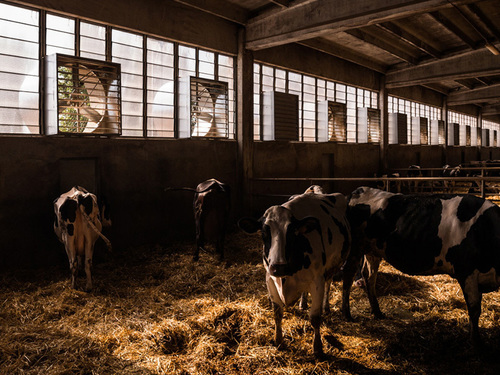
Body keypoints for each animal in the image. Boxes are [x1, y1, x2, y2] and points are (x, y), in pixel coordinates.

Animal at [239, 192, 352, 356]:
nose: (278, 267)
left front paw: (318, 348)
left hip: (332, 267)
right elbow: (277, 313)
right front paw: (278, 341)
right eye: (264, 232)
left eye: (292, 232)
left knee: (329, 283)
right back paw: (302, 304)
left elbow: (315, 317)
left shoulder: (317, 281)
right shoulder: (270, 279)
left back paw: (326, 306)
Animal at [344, 187, 500, 348]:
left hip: (372, 251)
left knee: (369, 277)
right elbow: (474, 309)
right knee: (348, 276)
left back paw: (377, 312)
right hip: (355, 248)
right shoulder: (467, 272)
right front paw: (476, 342)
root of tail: (359, 190)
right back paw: (347, 314)